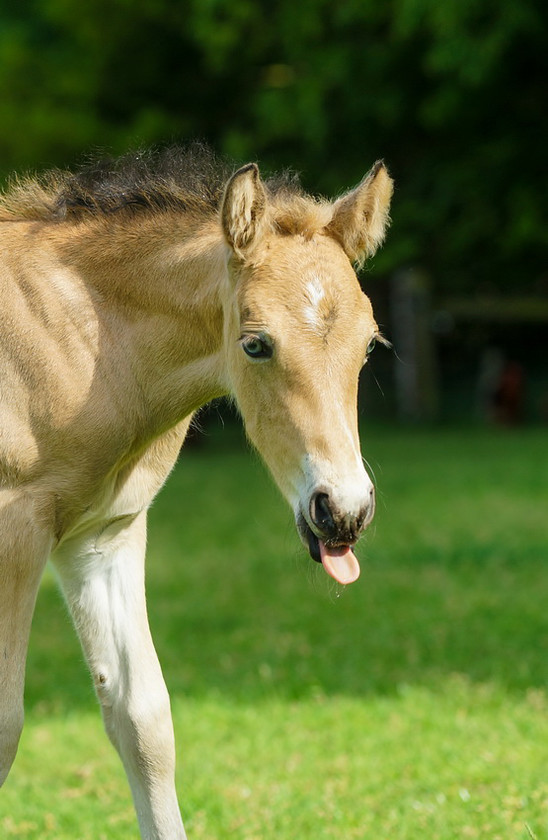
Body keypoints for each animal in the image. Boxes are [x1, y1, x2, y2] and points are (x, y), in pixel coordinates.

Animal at [0, 148, 394, 836]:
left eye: (369, 343)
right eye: (255, 343)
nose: (343, 511)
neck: (88, 342)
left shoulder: (102, 535)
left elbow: (143, 722)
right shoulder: (15, 531)